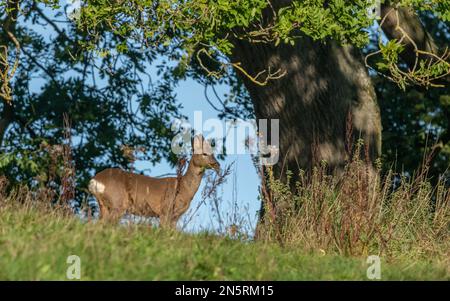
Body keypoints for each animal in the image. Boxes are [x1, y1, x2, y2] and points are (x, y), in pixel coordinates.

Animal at [88, 135, 220, 226]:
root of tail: (95, 180)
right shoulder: (165, 211)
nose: (217, 164)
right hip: (118, 203)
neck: (183, 188)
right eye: (204, 153)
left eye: (213, 153)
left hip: (104, 205)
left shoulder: (175, 217)